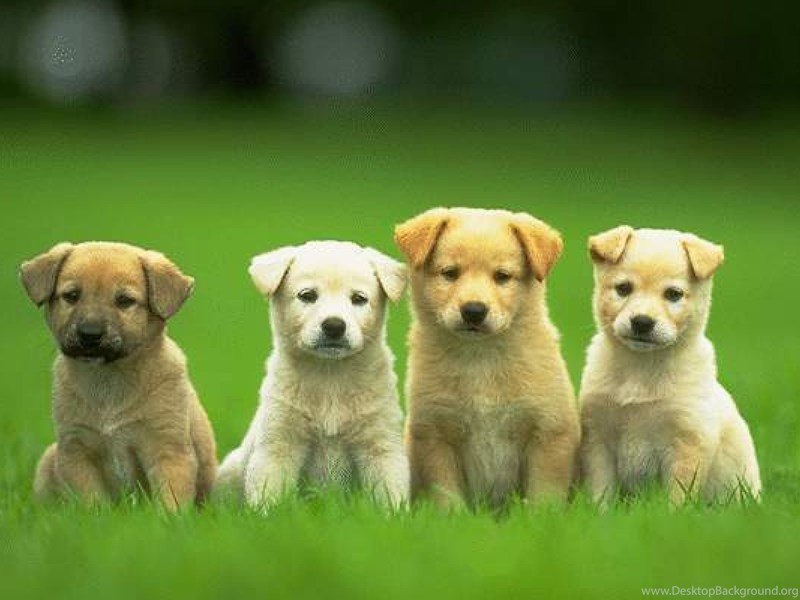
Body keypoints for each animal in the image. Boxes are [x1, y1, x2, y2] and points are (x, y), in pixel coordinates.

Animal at [21, 242, 217, 510]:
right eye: (72, 296)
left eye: (124, 301)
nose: (90, 334)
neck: (108, 378)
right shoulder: (77, 449)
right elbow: (92, 502)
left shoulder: (167, 448)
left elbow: (170, 502)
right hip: (49, 459)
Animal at [216, 241, 409, 510]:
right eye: (307, 295)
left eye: (359, 298)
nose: (334, 326)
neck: (330, 376)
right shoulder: (279, 442)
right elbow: (269, 493)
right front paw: (269, 516)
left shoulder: (381, 442)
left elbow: (389, 494)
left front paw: (393, 516)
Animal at [394, 207, 580, 510]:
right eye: (450, 273)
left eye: (502, 276)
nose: (473, 310)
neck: (480, 359)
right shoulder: (434, 434)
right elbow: (446, 497)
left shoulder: (548, 433)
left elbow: (543, 497)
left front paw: (541, 518)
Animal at [579, 226, 761, 506]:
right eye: (623, 288)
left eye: (673, 294)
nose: (642, 322)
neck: (641, 369)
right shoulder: (597, 439)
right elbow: (601, 493)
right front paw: (599, 514)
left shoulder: (686, 443)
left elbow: (676, 499)